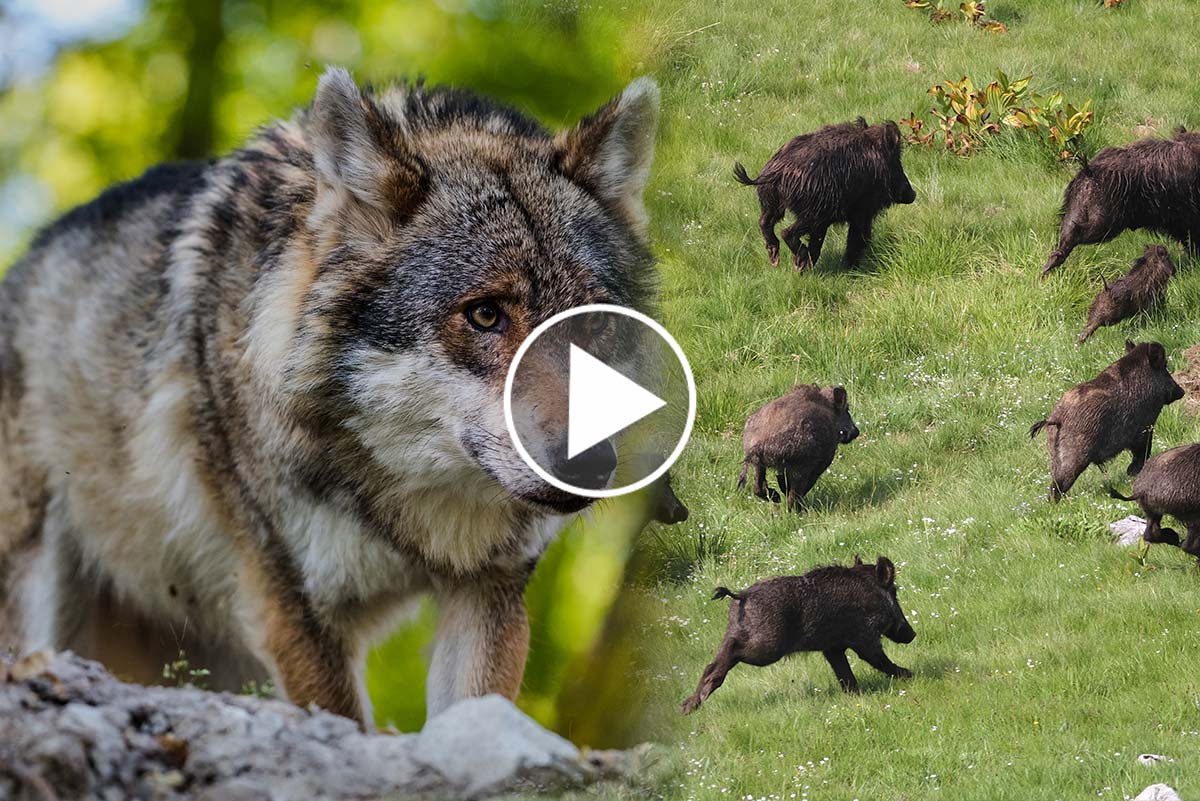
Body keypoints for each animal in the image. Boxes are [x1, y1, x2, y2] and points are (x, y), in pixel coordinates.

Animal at [0, 68, 657, 724]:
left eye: (597, 323)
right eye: (485, 315)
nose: (591, 464)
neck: (406, 508)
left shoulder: (489, 592)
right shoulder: (295, 611)